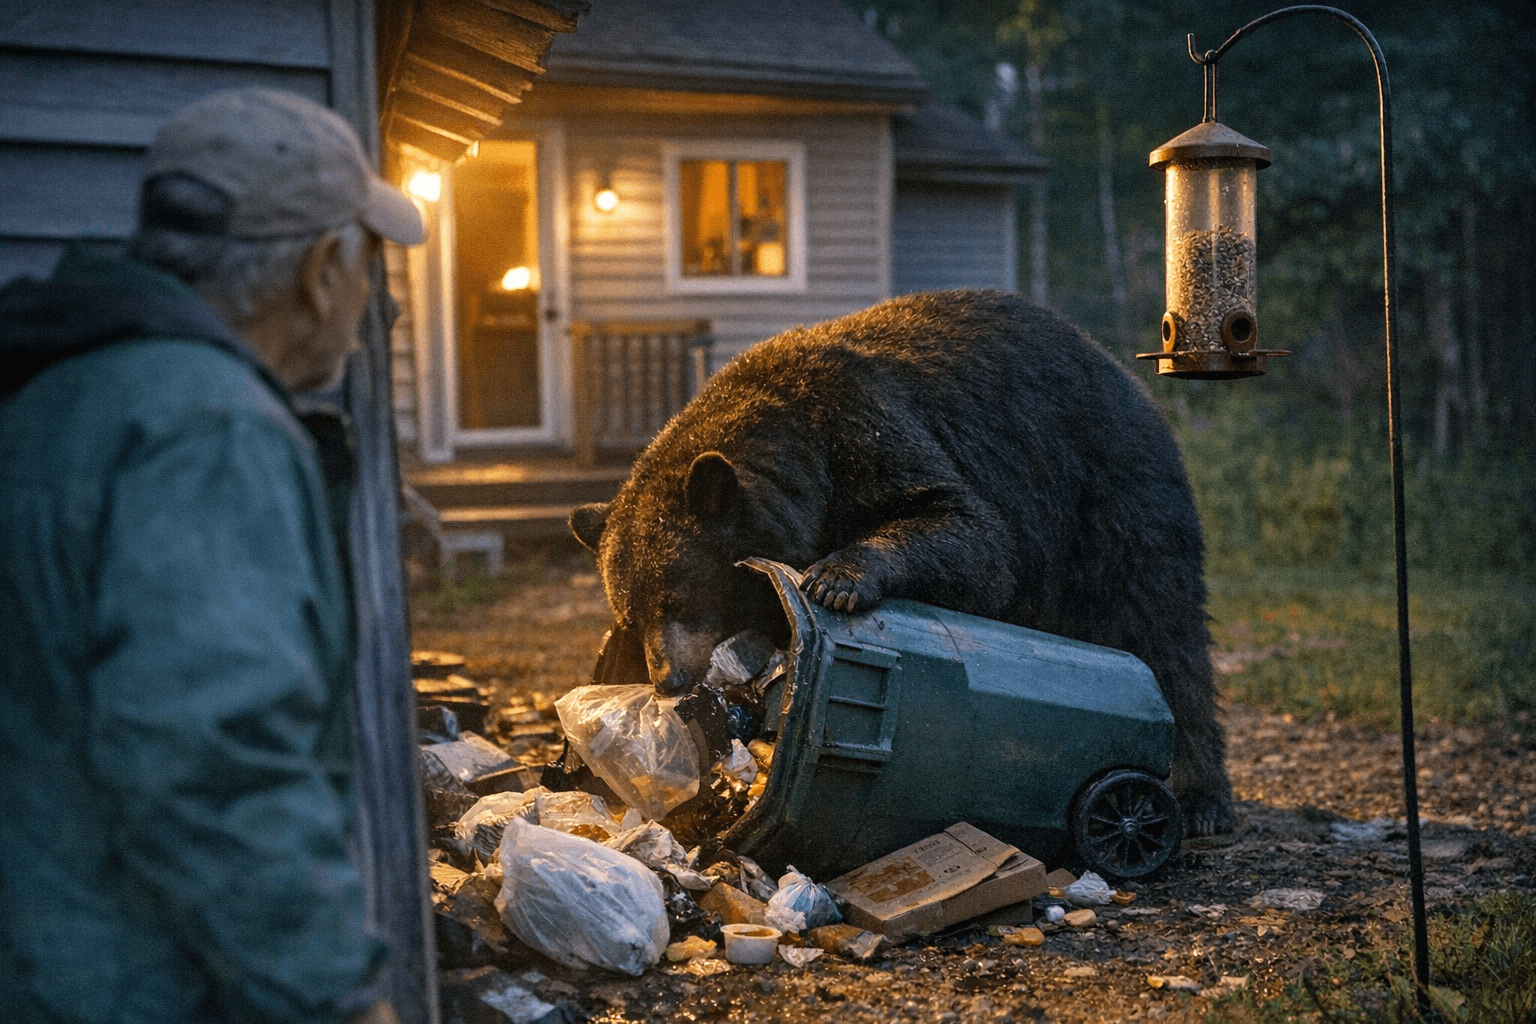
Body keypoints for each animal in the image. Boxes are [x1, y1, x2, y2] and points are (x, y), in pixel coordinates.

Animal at [570, 290, 1233, 836]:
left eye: (678, 597)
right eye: (630, 615)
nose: (667, 678)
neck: (798, 452)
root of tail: (1124, 373)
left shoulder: (866, 431)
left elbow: (966, 529)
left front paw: (836, 578)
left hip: (1109, 494)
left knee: (1161, 627)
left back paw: (1203, 800)